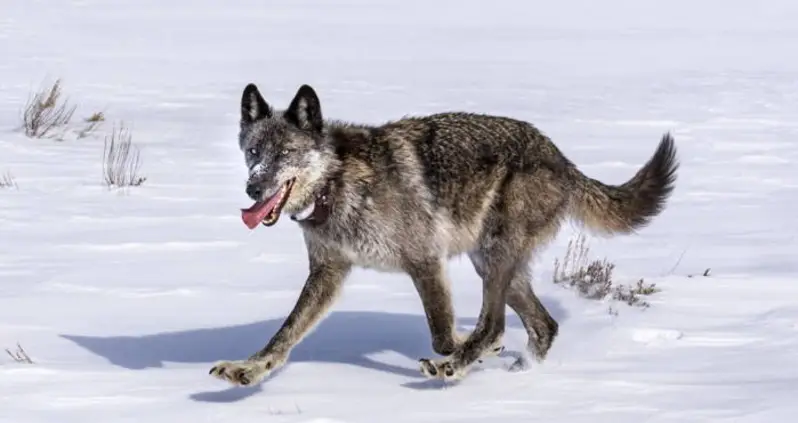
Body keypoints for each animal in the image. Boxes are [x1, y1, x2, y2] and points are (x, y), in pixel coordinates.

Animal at [209, 83, 678, 386]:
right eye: (254, 152)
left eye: (286, 154)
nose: (253, 188)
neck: (339, 184)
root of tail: (560, 156)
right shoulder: (328, 273)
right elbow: (285, 334)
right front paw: (248, 369)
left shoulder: (425, 261)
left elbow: (441, 334)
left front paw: (462, 354)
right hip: (492, 265)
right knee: (543, 325)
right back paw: (520, 374)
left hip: (494, 259)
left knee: (495, 323)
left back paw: (462, 364)